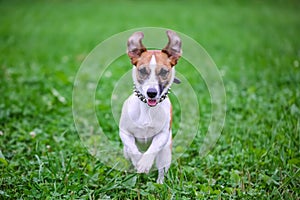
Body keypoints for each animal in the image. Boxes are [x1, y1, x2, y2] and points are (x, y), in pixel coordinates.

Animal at [118, 29, 182, 183]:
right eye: (142, 71)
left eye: (164, 72)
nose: (151, 92)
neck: (147, 109)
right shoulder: (124, 132)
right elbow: (133, 149)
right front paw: (138, 162)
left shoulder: (163, 134)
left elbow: (153, 148)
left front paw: (144, 163)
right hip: (125, 152)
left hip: (165, 155)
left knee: (161, 171)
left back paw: (159, 183)